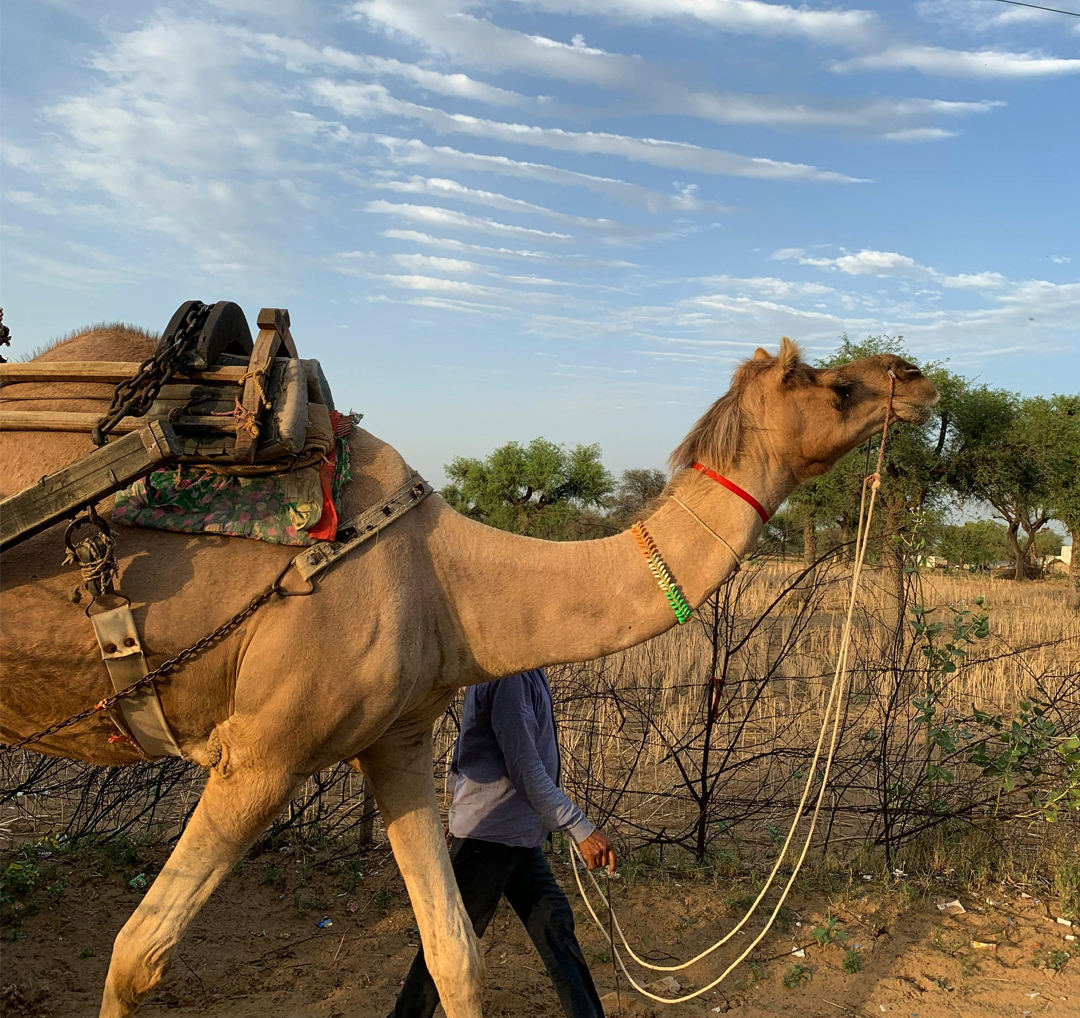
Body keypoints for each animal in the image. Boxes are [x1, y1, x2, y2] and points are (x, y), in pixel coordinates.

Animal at [0, 326, 937, 1017]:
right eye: (832, 385)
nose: (915, 375)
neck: (448, 580)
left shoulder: (398, 741)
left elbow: (455, 953)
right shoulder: (262, 754)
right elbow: (137, 955)